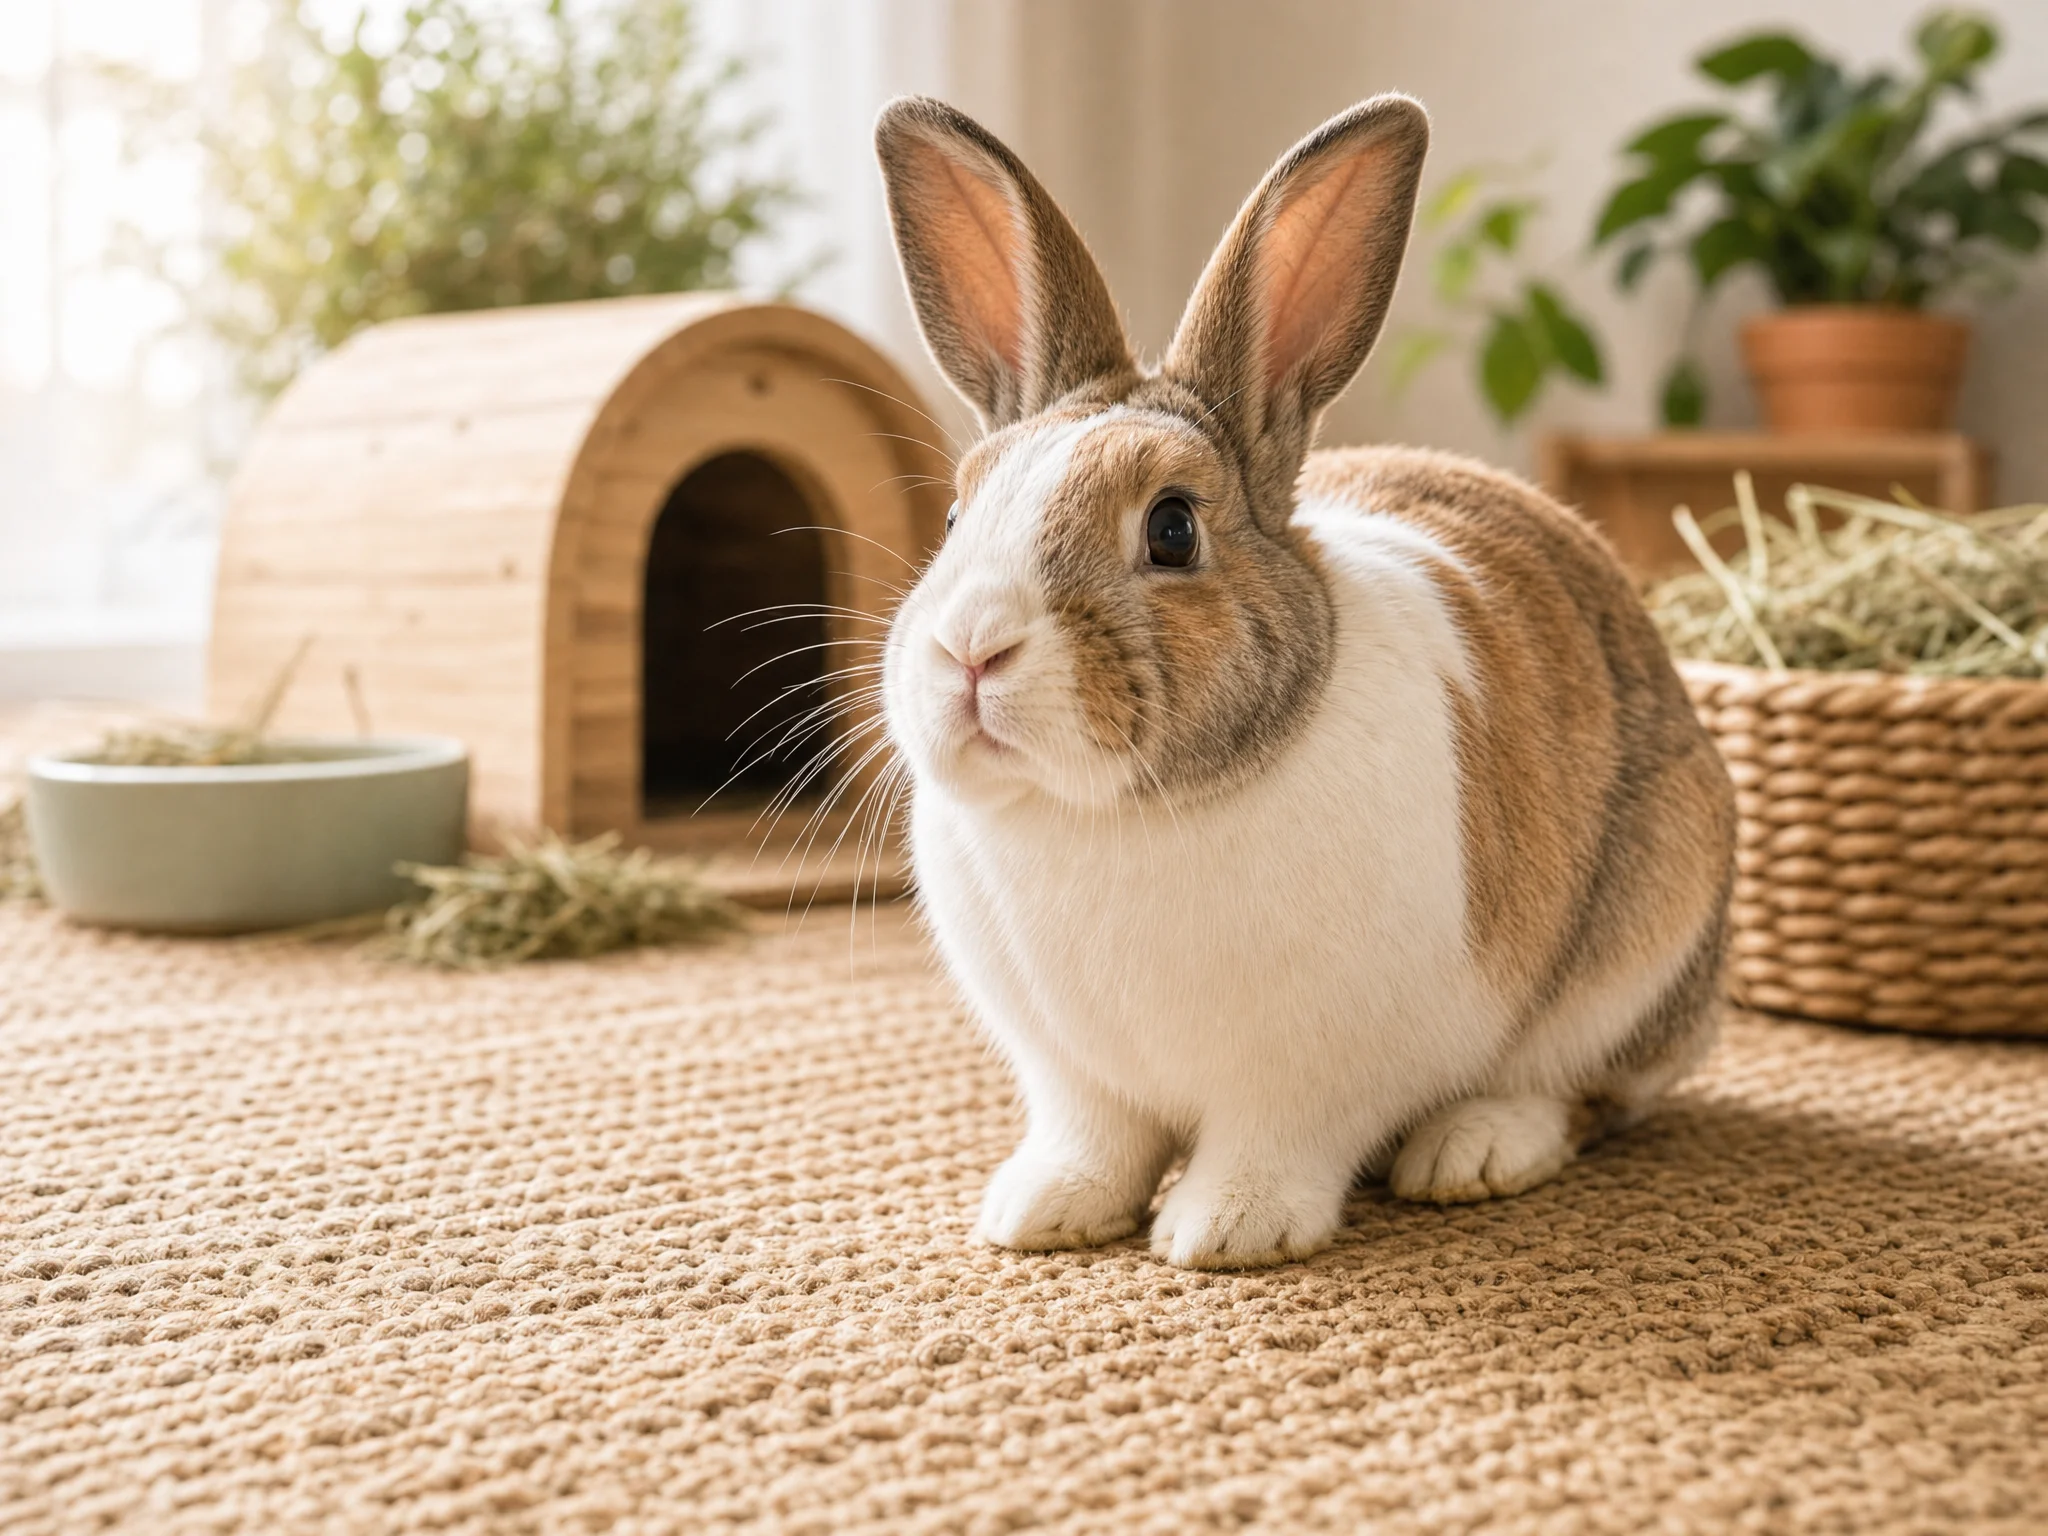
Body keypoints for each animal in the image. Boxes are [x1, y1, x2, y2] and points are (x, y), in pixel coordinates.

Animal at [871, 92, 1737, 1270]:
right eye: (959, 513)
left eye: (1172, 529)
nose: (971, 650)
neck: (1113, 815)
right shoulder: (1072, 1075)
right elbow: (1093, 1140)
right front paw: (1038, 1212)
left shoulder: (1310, 1083)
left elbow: (1273, 1146)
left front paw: (1226, 1232)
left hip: (1641, 954)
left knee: (1590, 1092)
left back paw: (1470, 1151)